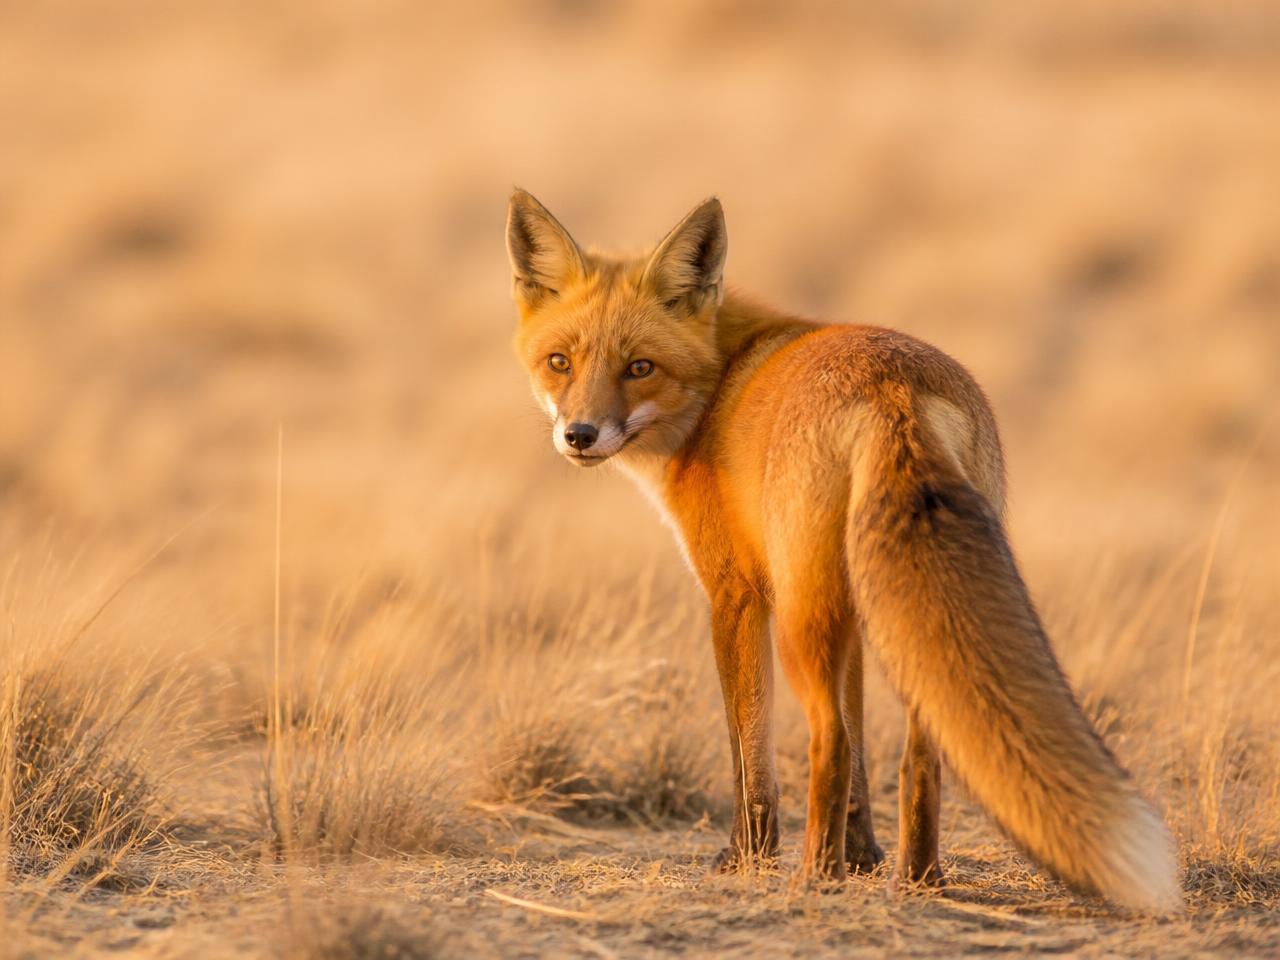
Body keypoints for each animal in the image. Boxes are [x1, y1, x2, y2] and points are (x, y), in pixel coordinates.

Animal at [504, 188, 1181, 913]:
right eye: (560, 362)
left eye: (639, 368)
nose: (579, 435)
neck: (719, 387)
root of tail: (893, 385)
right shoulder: (851, 617)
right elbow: (859, 753)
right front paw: (860, 858)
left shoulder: (734, 596)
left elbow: (751, 754)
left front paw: (749, 859)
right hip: (884, 612)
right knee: (919, 749)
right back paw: (916, 879)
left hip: (801, 621)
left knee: (824, 739)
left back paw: (811, 878)